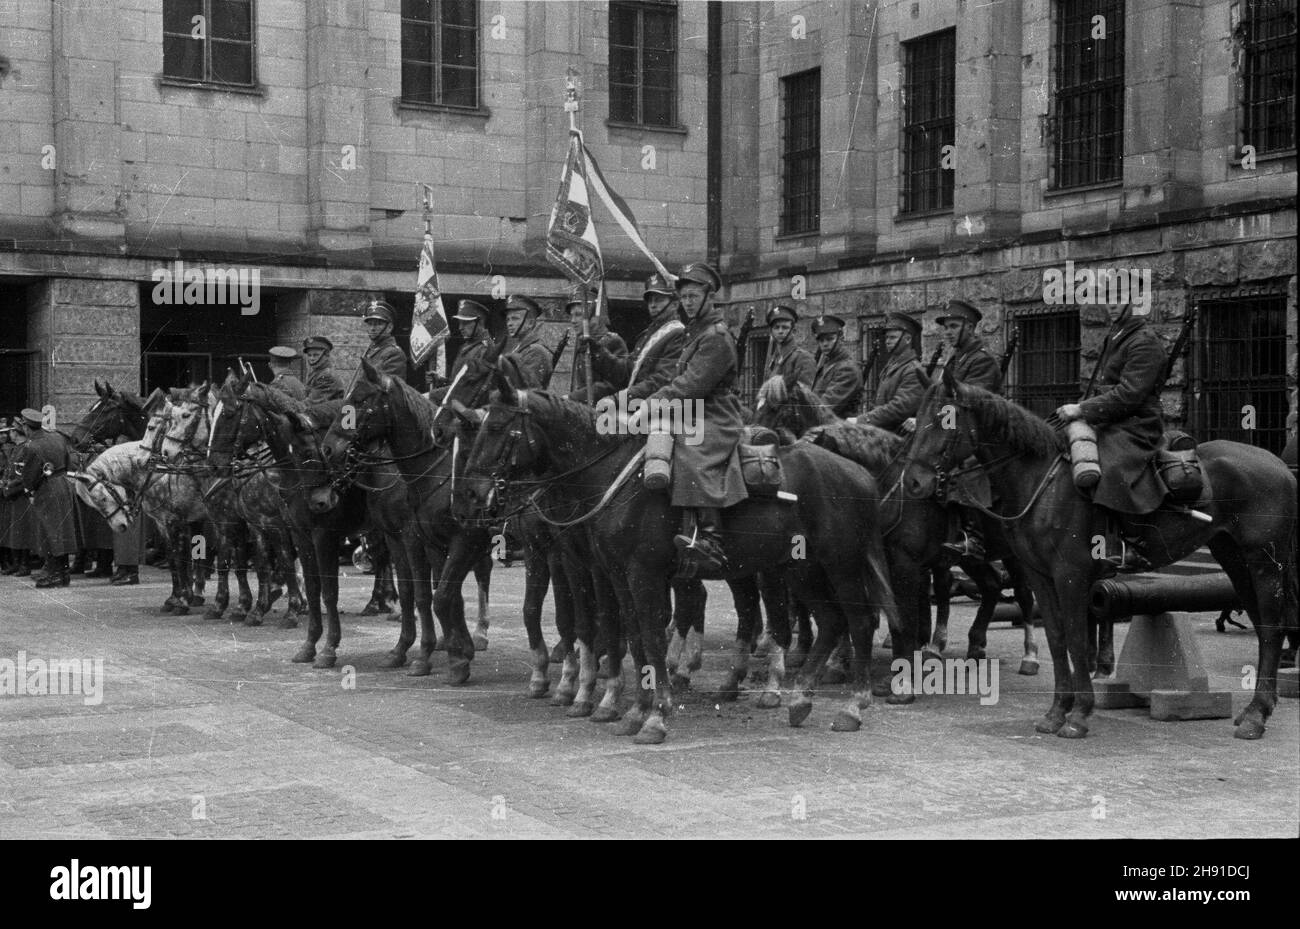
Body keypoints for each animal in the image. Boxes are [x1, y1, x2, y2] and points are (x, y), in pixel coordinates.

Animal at [454, 374, 894, 743]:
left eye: (496, 428)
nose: (472, 494)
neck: (612, 477)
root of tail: (859, 474)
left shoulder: (638, 573)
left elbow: (645, 633)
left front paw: (653, 714)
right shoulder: (610, 572)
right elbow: (627, 633)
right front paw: (627, 707)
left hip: (838, 566)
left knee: (857, 621)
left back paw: (851, 705)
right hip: (802, 569)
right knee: (830, 621)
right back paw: (800, 699)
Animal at [748, 374, 1040, 680]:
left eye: (774, 406)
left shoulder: (898, 564)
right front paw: (838, 659)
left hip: (1013, 555)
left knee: (1021, 593)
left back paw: (1027, 654)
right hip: (972, 558)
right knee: (991, 585)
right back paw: (971, 645)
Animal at [904, 371, 1300, 743]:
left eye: (943, 418)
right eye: (918, 415)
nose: (914, 482)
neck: (1041, 481)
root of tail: (1280, 465)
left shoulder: (1071, 575)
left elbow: (1078, 638)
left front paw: (1079, 714)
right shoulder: (1040, 575)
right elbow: (1057, 637)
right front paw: (1056, 711)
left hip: (1264, 561)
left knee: (1272, 626)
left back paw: (1256, 716)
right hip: (1233, 558)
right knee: (1262, 623)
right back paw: (1258, 708)